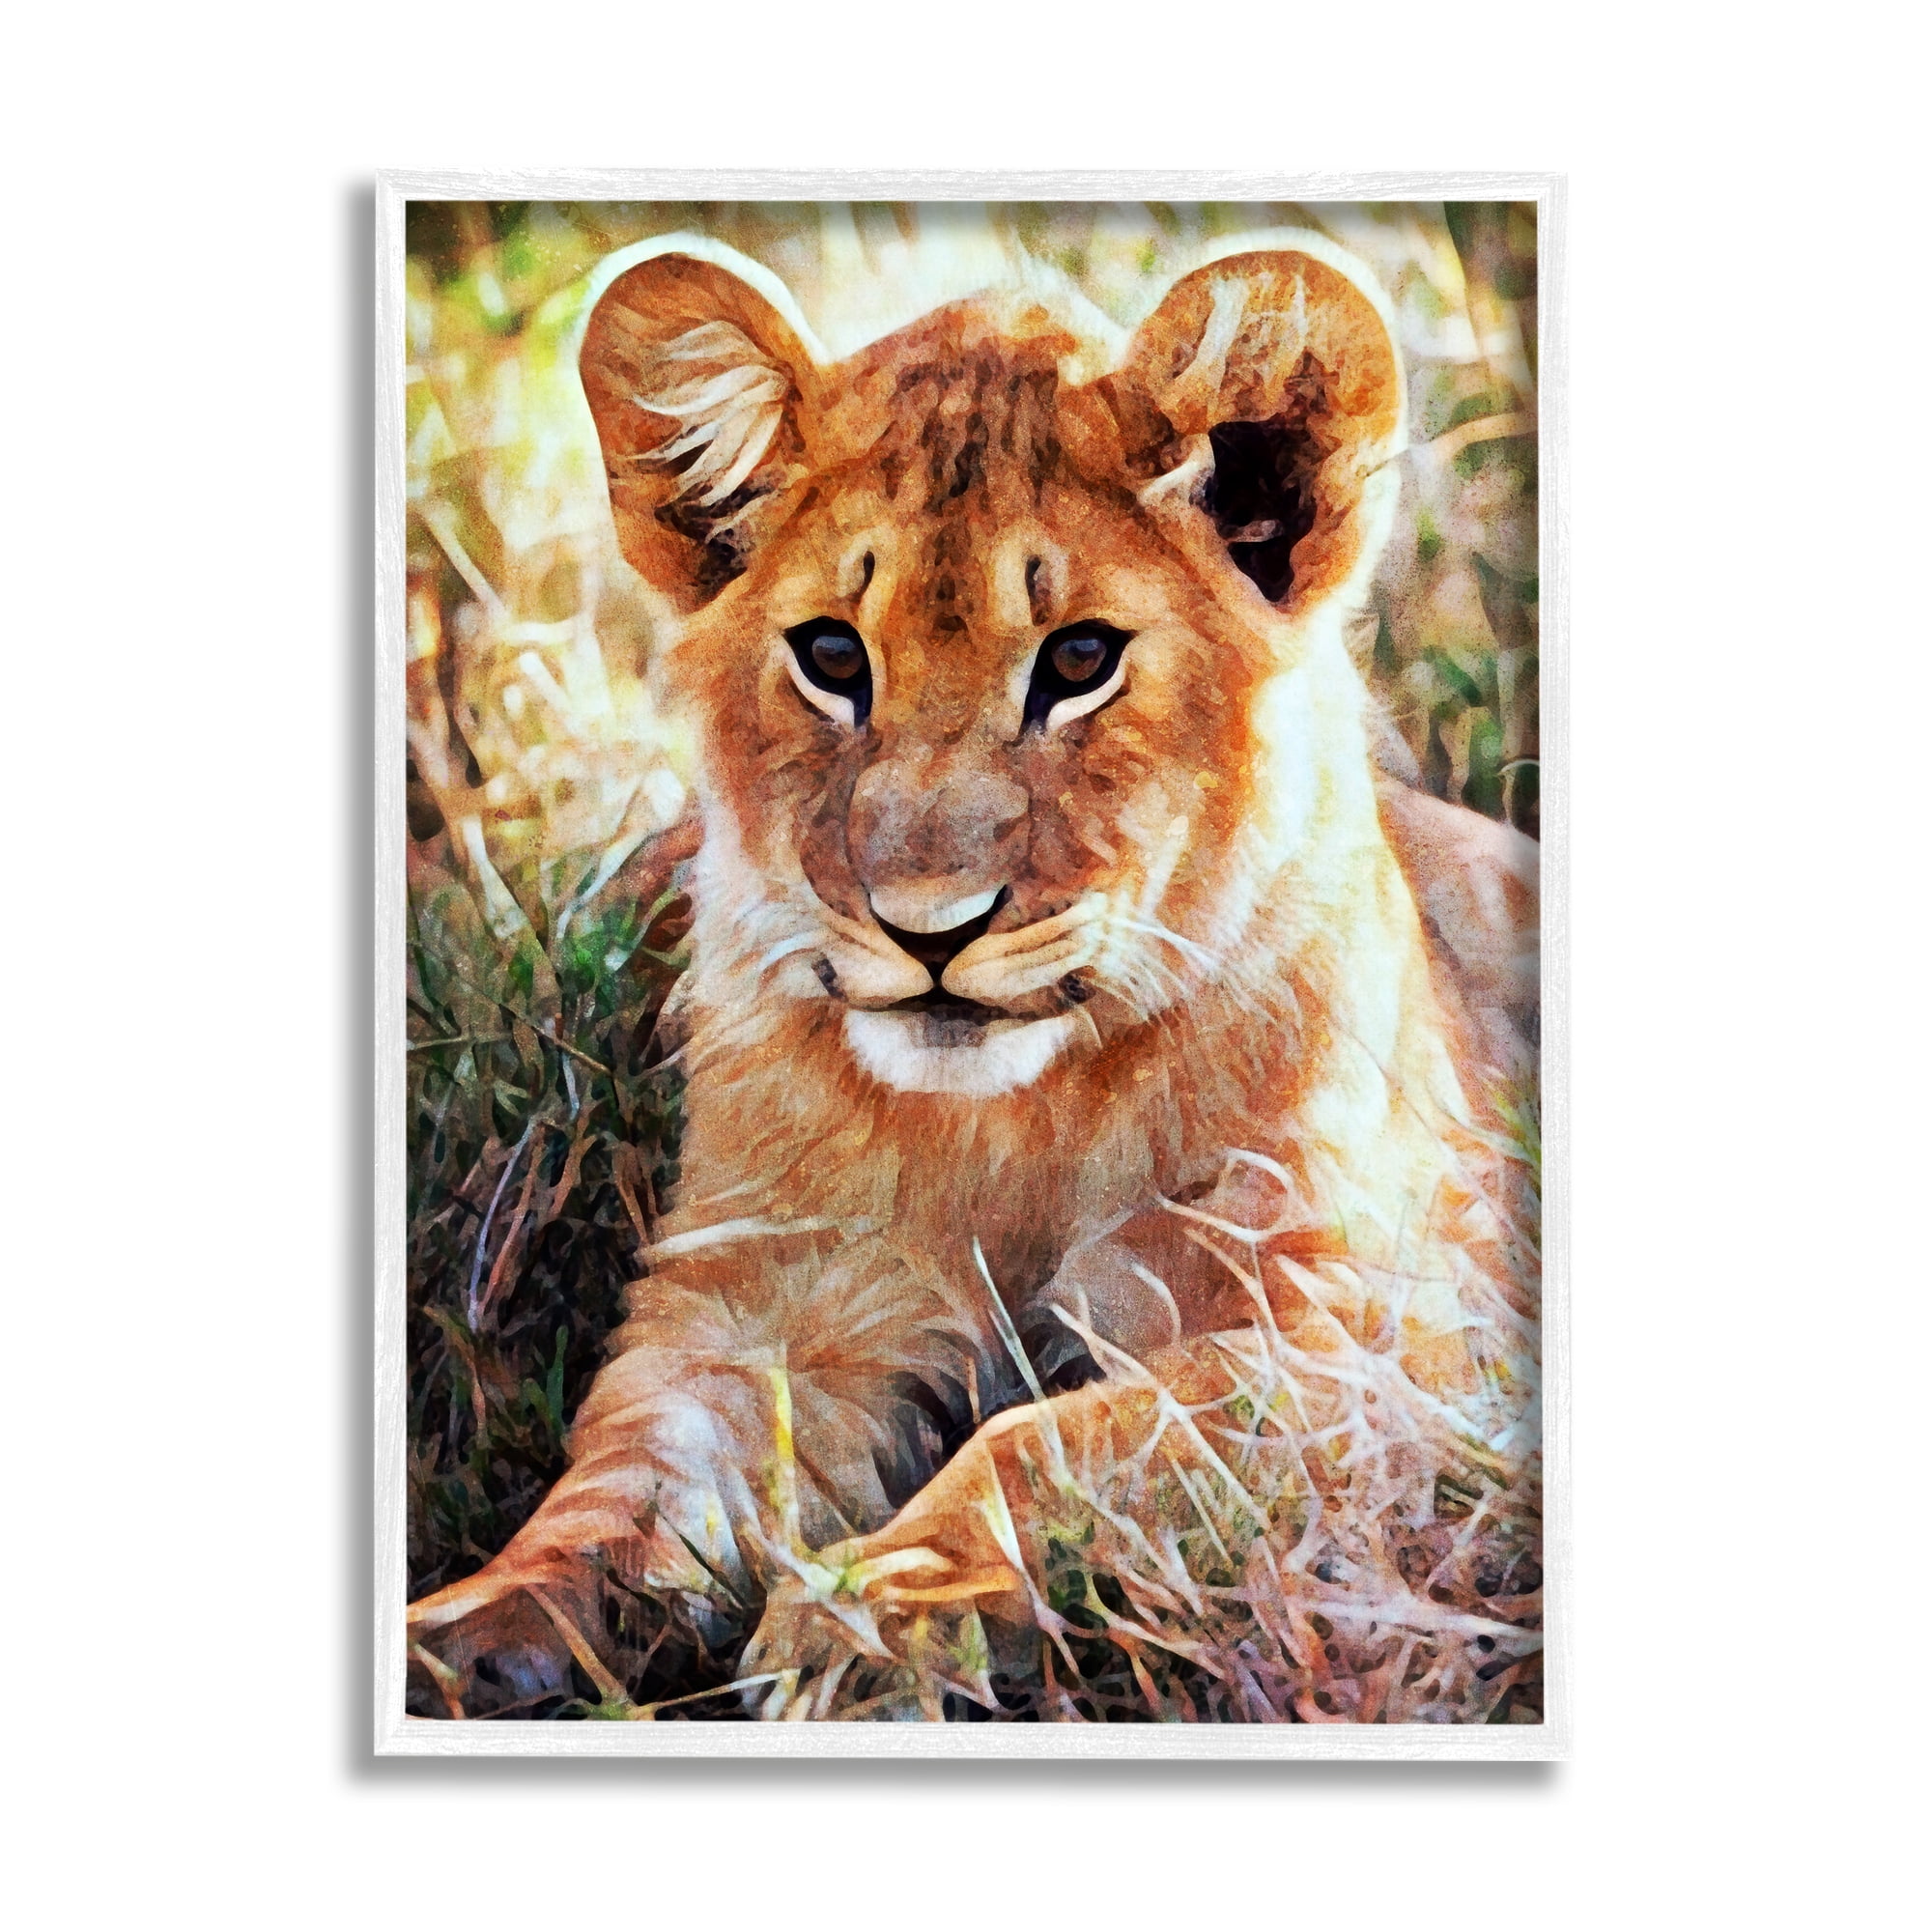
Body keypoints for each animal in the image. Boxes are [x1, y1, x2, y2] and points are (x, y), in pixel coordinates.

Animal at [405, 229, 1541, 1722]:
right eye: (832, 655)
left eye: (1080, 659)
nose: (928, 931)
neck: (1013, 1126)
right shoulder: (754, 1304)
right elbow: (620, 1485)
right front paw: (468, 1632)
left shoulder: (1392, 1341)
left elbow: (1059, 1440)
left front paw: (871, 1617)